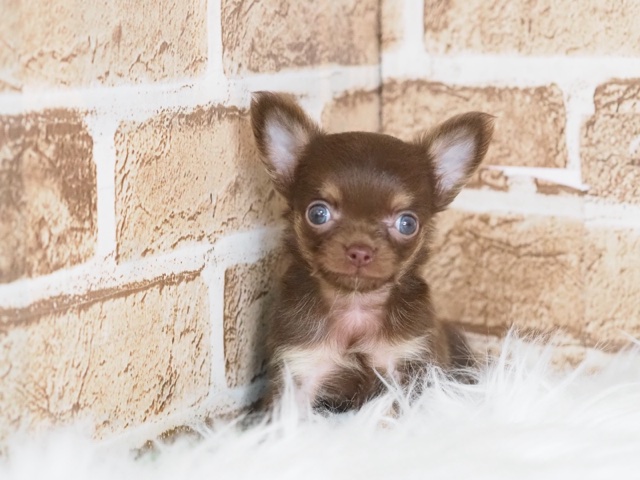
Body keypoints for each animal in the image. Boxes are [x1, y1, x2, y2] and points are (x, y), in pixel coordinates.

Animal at [250, 91, 496, 412]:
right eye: (318, 214)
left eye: (407, 223)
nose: (360, 250)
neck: (356, 303)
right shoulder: (300, 368)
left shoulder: (407, 365)